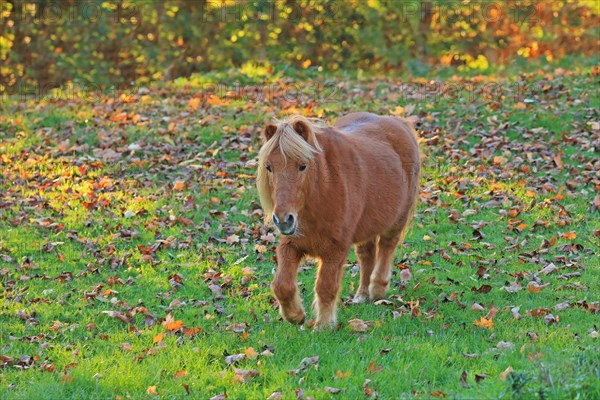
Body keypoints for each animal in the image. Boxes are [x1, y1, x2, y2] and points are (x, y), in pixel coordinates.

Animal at [258, 111, 422, 328]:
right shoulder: (291, 245)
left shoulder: (335, 250)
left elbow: (326, 287)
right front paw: (295, 316)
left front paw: (324, 325)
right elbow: (281, 285)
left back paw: (377, 289)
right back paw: (362, 295)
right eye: (269, 167)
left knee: (387, 247)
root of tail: (398, 122)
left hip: (397, 220)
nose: (284, 220)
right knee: (367, 255)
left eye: (302, 166)